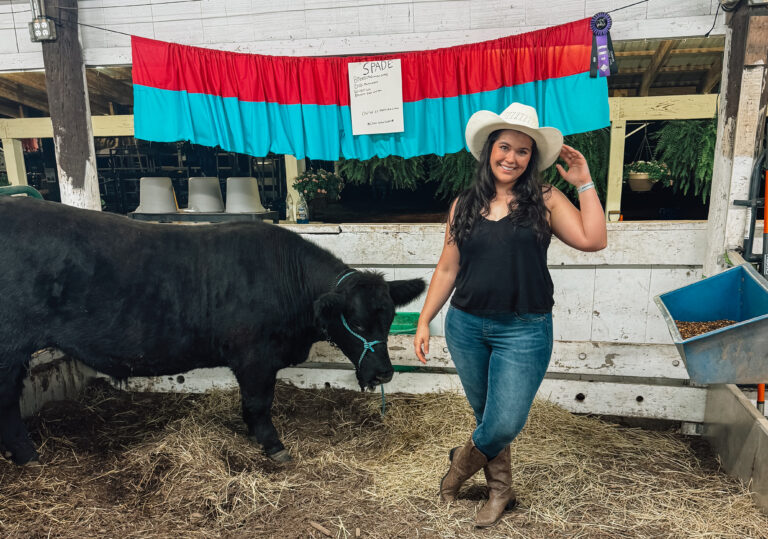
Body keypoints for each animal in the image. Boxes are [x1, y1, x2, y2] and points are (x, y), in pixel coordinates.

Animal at [0, 198, 426, 464]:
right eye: (356, 322)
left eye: (389, 318)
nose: (383, 373)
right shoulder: (255, 357)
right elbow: (258, 402)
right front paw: (273, 445)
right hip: (9, 347)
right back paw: (27, 456)